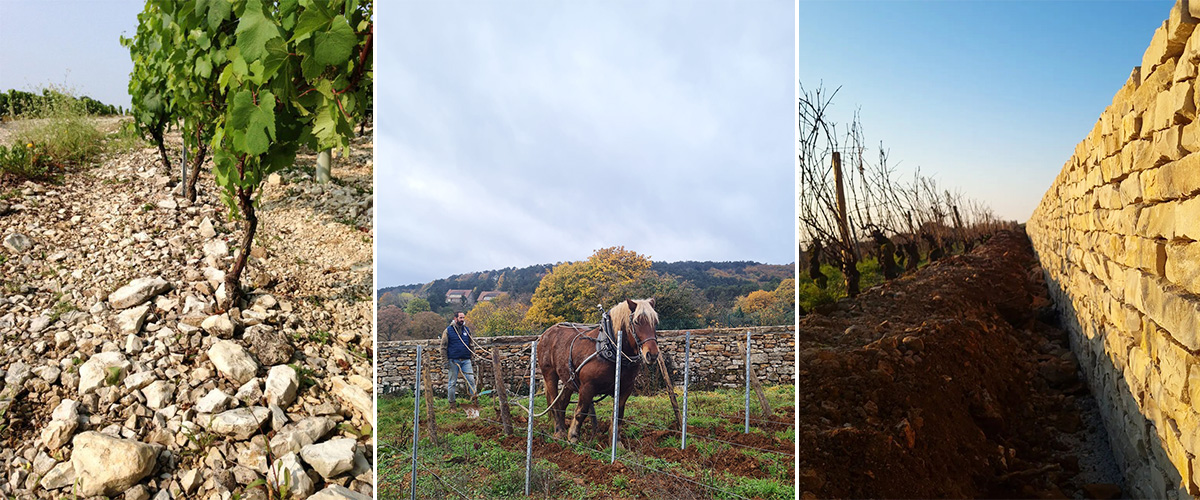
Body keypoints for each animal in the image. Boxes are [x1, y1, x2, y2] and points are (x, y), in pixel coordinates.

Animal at [540, 296, 662, 443]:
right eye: (637, 322)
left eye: (655, 322)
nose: (652, 354)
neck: (611, 349)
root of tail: (546, 333)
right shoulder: (587, 386)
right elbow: (581, 412)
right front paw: (573, 437)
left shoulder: (625, 388)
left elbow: (618, 415)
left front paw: (616, 441)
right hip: (549, 374)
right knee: (555, 403)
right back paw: (559, 432)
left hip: (568, 378)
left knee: (563, 403)